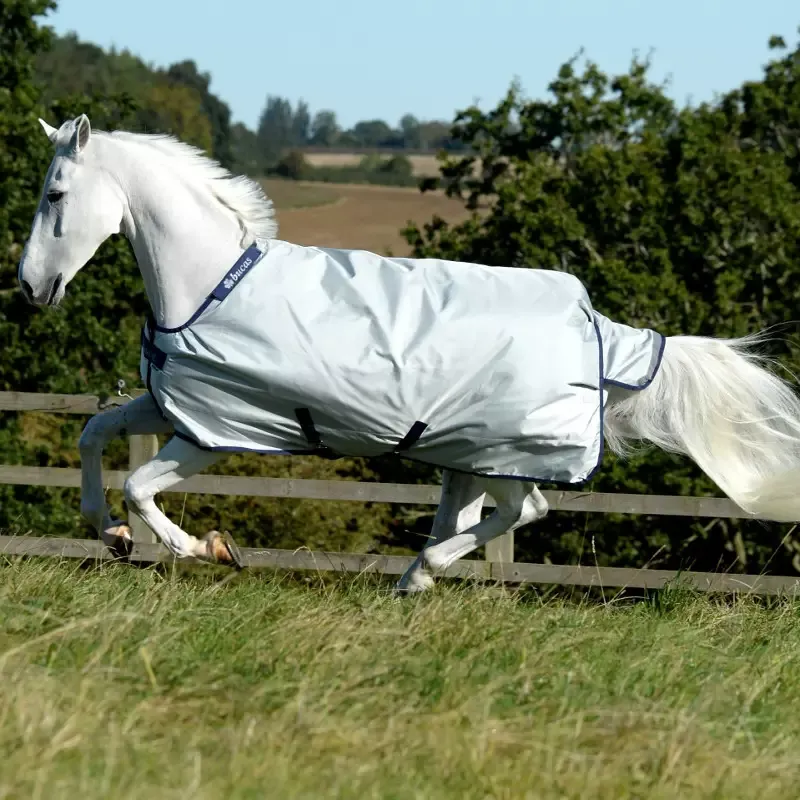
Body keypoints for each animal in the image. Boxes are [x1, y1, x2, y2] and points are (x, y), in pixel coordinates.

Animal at [17, 114, 800, 593]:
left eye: (55, 193)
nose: (29, 286)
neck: (211, 283)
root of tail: (598, 328)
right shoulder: (170, 406)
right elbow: (94, 436)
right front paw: (112, 535)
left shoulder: (217, 429)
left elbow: (140, 484)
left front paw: (208, 548)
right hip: (468, 455)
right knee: (484, 514)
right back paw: (415, 578)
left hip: (505, 452)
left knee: (528, 510)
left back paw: (419, 572)